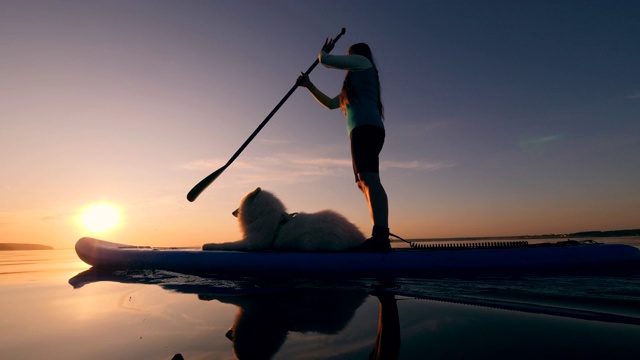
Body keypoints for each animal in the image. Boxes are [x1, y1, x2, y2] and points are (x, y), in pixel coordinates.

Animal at [204, 187, 364, 252]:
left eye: (240, 205)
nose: (232, 212)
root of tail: (356, 236)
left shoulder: (253, 242)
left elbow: (226, 244)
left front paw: (208, 245)